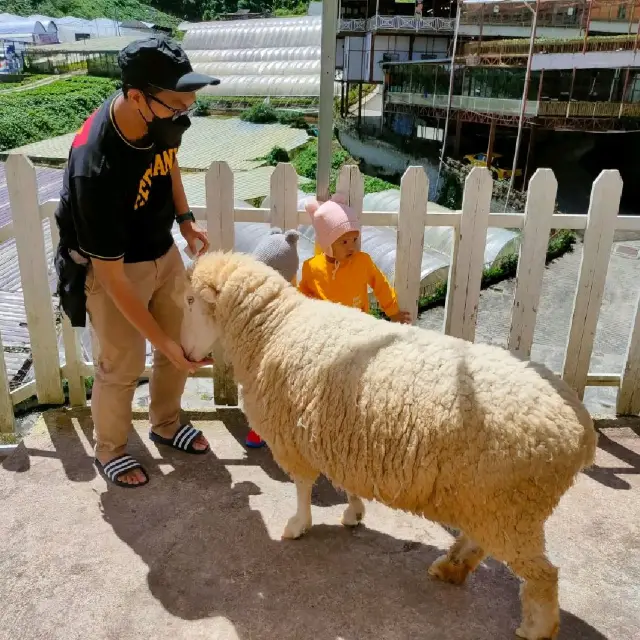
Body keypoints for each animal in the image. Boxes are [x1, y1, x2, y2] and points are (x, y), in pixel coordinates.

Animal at [181, 250, 600, 640]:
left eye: (189, 300)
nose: (185, 354)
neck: (273, 328)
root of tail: (581, 429)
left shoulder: (291, 439)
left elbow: (302, 487)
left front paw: (299, 525)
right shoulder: (336, 435)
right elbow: (343, 482)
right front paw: (353, 513)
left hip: (512, 508)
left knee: (544, 574)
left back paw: (535, 628)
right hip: (489, 503)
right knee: (482, 542)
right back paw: (451, 568)